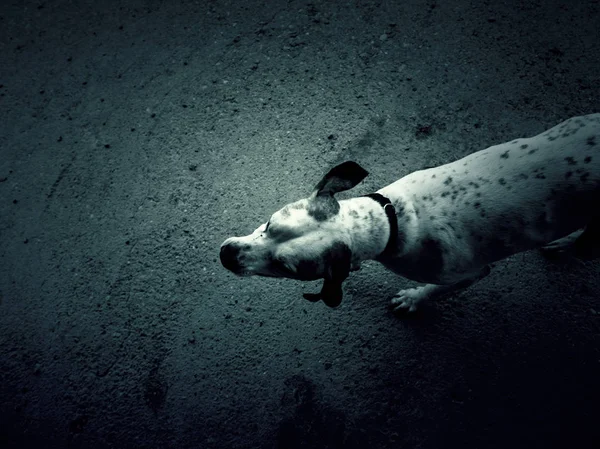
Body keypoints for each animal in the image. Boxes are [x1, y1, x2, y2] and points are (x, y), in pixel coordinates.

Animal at [221, 114, 600, 310]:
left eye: (287, 268)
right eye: (270, 223)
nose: (226, 255)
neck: (392, 221)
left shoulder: (468, 273)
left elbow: (438, 289)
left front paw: (415, 300)